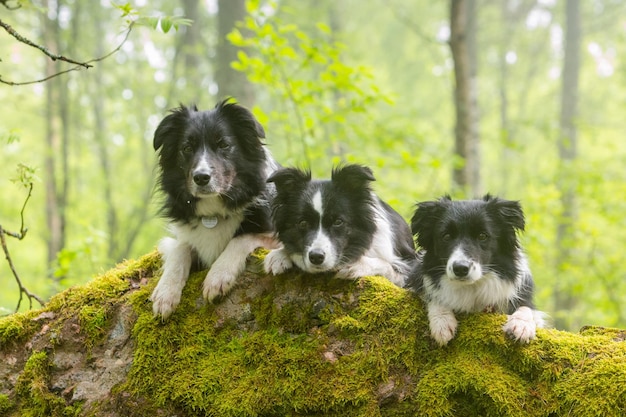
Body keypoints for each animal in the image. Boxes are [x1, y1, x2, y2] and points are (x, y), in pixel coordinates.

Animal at [150, 100, 276, 318]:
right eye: (187, 148)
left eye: (224, 144)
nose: (201, 178)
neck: (213, 213)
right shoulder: (181, 238)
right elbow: (180, 248)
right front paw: (165, 293)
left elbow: (241, 237)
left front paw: (218, 276)